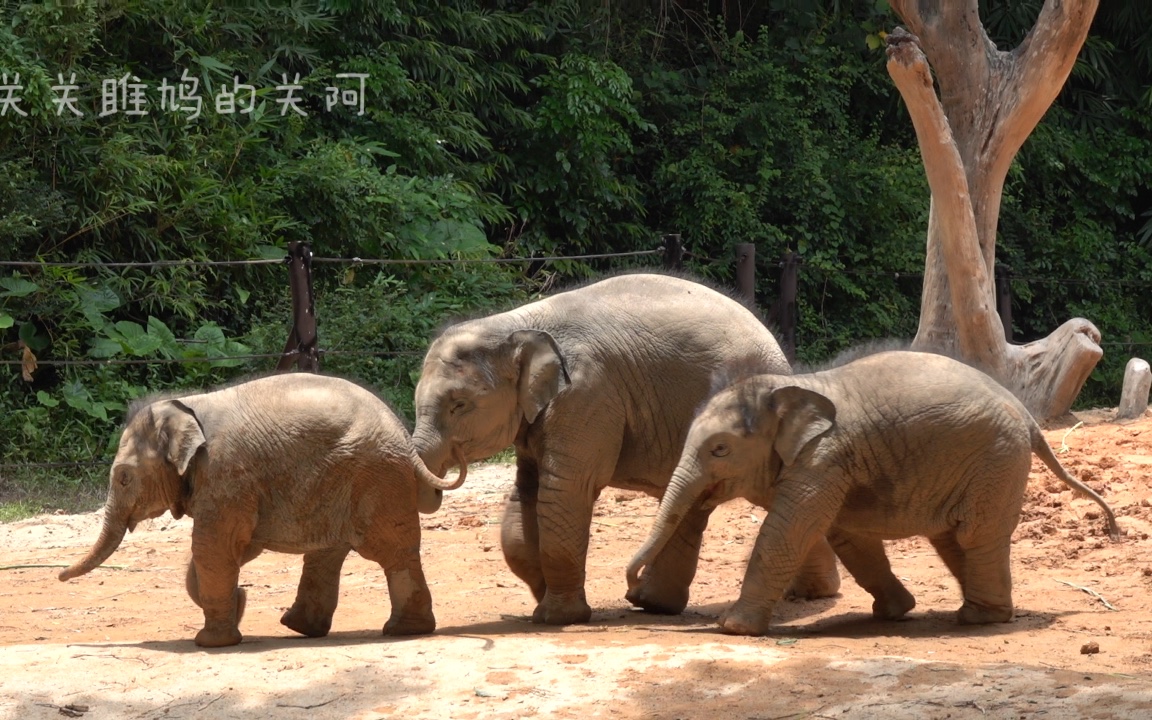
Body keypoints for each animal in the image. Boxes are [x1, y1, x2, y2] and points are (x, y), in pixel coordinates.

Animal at [57, 370, 463, 645]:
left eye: (124, 478)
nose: (59, 575)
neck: (186, 408)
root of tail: (403, 436)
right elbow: (233, 548)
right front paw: (237, 605)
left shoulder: (226, 473)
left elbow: (214, 546)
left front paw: (213, 641)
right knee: (327, 555)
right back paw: (302, 628)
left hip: (375, 476)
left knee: (390, 551)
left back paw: (401, 631)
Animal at [410, 269, 843, 622]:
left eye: (459, 405)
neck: (515, 323)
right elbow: (525, 498)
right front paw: (541, 599)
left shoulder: (587, 396)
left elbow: (565, 490)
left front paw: (556, 617)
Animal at [626, 347, 1119, 635]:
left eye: (720, 449)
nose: (631, 594)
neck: (786, 390)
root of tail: (1030, 419)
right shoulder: (835, 468)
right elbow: (848, 536)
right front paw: (895, 611)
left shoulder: (823, 459)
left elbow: (787, 531)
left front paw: (732, 627)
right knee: (954, 537)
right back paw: (981, 612)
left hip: (996, 460)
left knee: (975, 534)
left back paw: (979, 619)